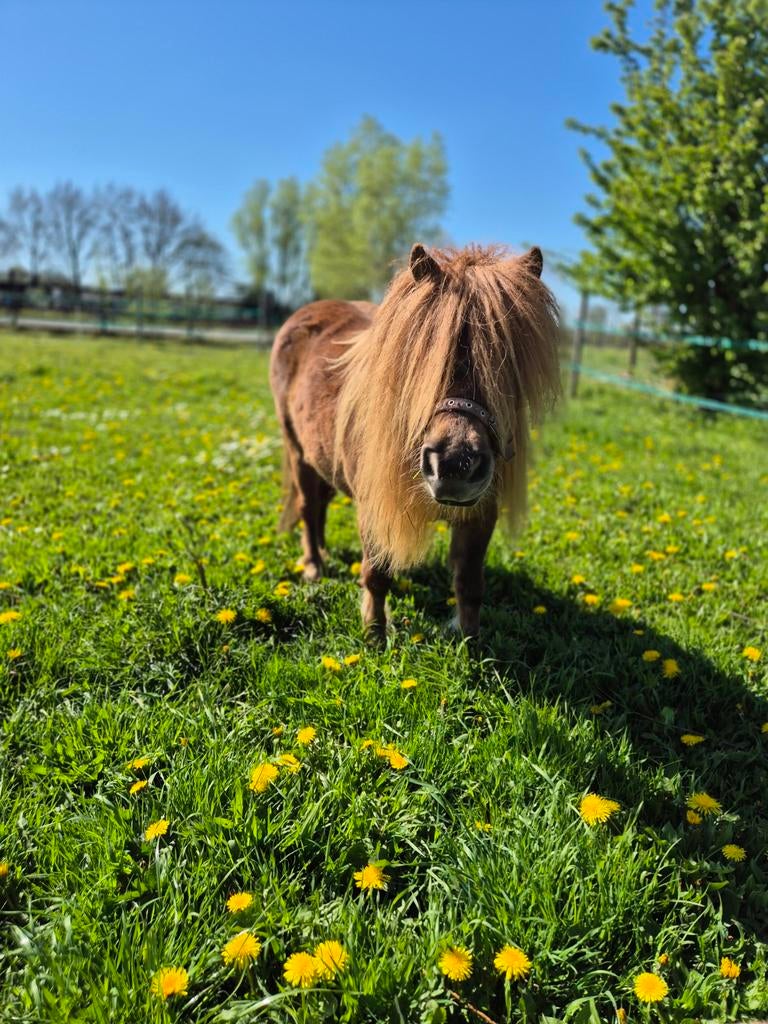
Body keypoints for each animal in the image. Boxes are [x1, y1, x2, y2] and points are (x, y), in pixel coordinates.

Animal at [269, 243, 561, 638]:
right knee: (307, 507)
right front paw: (375, 634)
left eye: (509, 362)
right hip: (298, 452)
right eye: (423, 357)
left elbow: (470, 584)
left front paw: (471, 643)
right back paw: (314, 565)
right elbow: (376, 574)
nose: (454, 465)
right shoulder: (375, 508)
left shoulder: (480, 515)